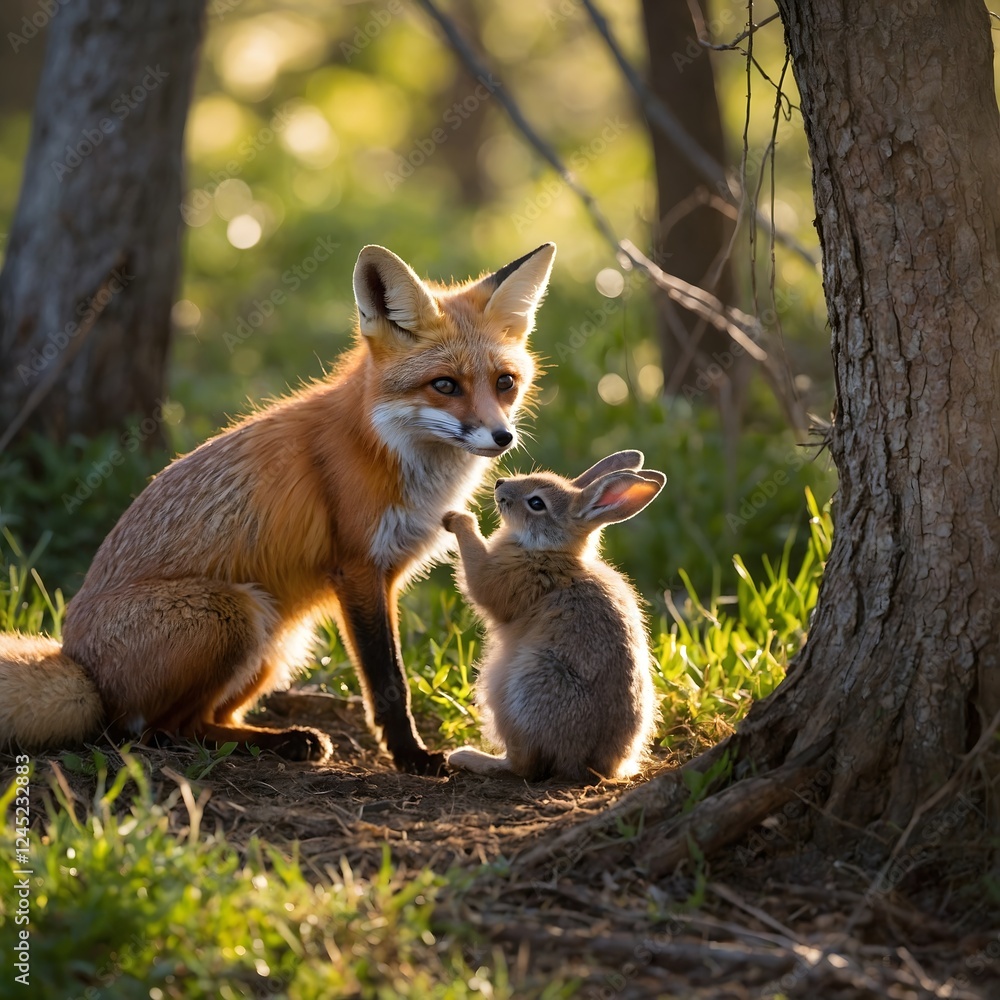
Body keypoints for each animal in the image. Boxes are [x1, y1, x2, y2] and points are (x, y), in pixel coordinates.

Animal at [0, 241, 555, 774]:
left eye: (505, 382)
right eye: (444, 385)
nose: (502, 438)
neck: (386, 447)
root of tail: (79, 663)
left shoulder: (388, 574)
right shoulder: (357, 567)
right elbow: (388, 680)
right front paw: (410, 757)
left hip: (282, 640)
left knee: (201, 720)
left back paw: (285, 740)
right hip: (234, 611)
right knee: (154, 730)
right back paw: (271, 741)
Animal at [441, 450, 665, 782]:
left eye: (536, 503)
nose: (500, 484)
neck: (548, 551)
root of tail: (588, 766)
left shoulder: (498, 579)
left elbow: (479, 577)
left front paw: (459, 519)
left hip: (524, 687)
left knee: (523, 765)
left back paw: (468, 756)